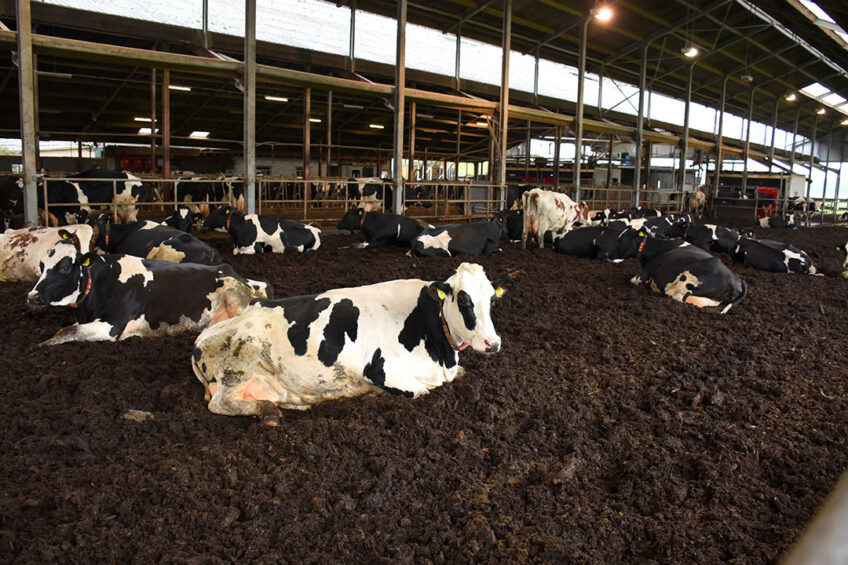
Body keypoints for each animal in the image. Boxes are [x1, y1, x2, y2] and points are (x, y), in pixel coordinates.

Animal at [27, 237, 272, 346]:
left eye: (65, 267)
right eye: (42, 265)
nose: (32, 297)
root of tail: (228, 269)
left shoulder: (111, 327)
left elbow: (68, 330)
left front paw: (41, 345)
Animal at [193, 262, 516, 420]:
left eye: (492, 299)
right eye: (463, 299)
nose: (493, 343)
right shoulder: (383, 369)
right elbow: (422, 391)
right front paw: (374, 396)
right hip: (240, 359)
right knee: (221, 403)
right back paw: (268, 412)